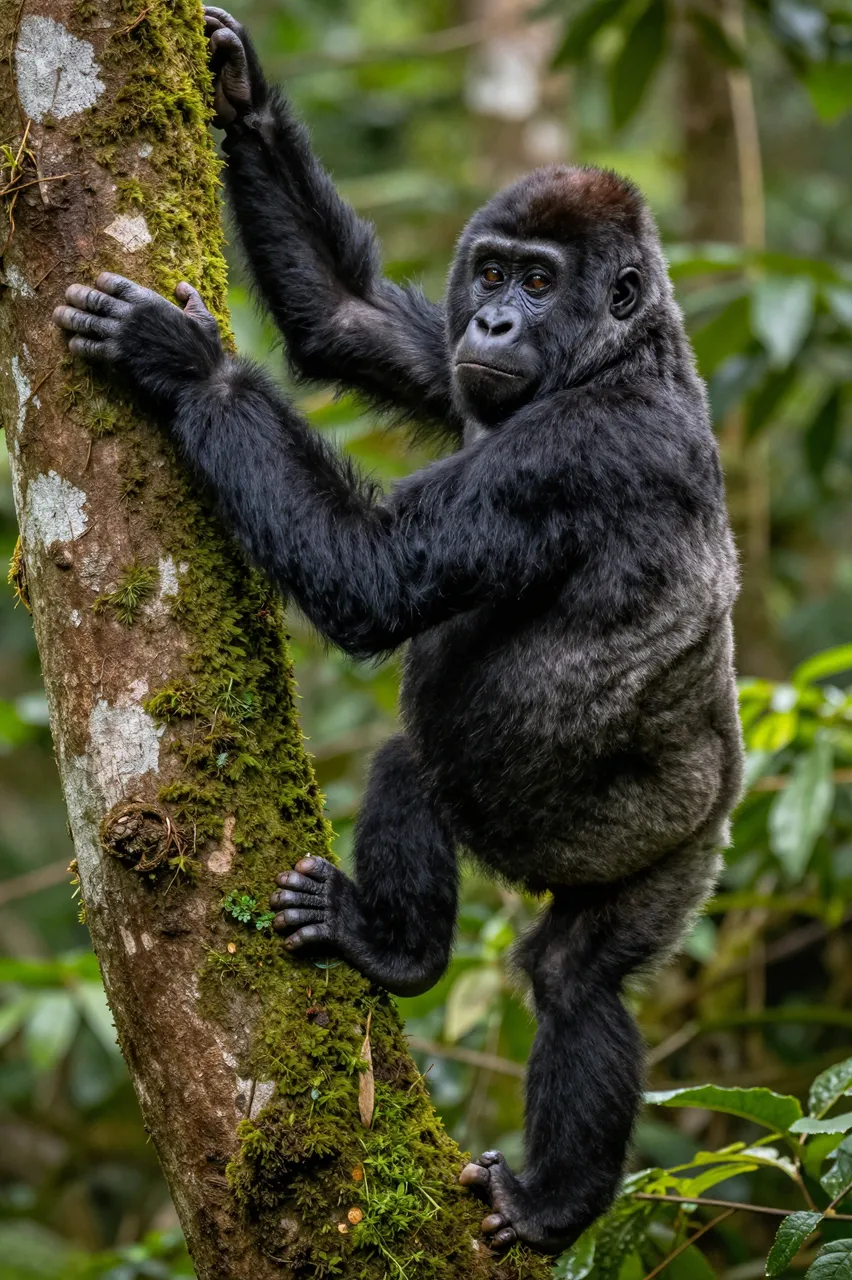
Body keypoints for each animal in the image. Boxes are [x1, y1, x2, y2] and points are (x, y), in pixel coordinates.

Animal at [53, 7, 744, 1254]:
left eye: (542, 280)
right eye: (494, 271)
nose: (499, 319)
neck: (629, 344)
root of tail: (721, 789)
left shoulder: (570, 452)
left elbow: (372, 576)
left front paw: (187, 364)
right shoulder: (459, 367)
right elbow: (349, 319)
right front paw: (239, 90)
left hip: (624, 819)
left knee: (433, 792)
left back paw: (412, 969)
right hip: (682, 853)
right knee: (588, 971)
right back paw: (564, 1183)